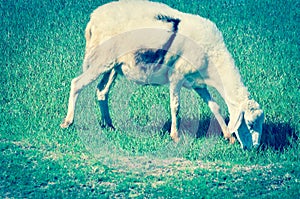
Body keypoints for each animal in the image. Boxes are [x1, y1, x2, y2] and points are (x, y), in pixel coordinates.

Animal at [59, 0, 264, 149]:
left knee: (102, 91)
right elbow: (176, 106)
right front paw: (175, 136)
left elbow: (215, 107)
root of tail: (93, 19)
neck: (213, 58)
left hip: (113, 66)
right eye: (250, 124)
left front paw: (228, 136)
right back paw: (68, 122)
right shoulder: (177, 77)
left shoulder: (198, 82)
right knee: (77, 83)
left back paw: (109, 126)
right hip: (101, 59)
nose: (254, 149)